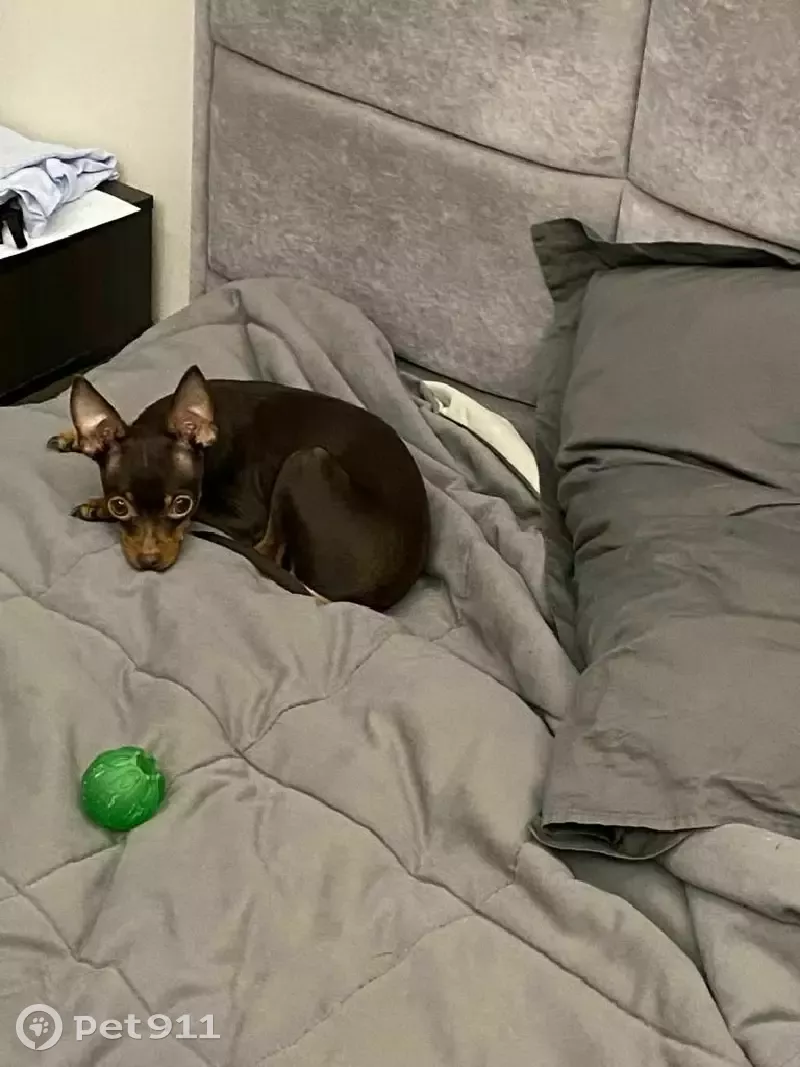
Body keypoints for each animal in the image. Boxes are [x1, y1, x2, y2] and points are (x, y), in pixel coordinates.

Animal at [48, 366, 430, 610]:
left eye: (182, 506)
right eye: (121, 507)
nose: (149, 562)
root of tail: (364, 597)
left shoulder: (247, 518)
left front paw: (96, 505)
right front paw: (74, 438)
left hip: (305, 460)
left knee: (266, 553)